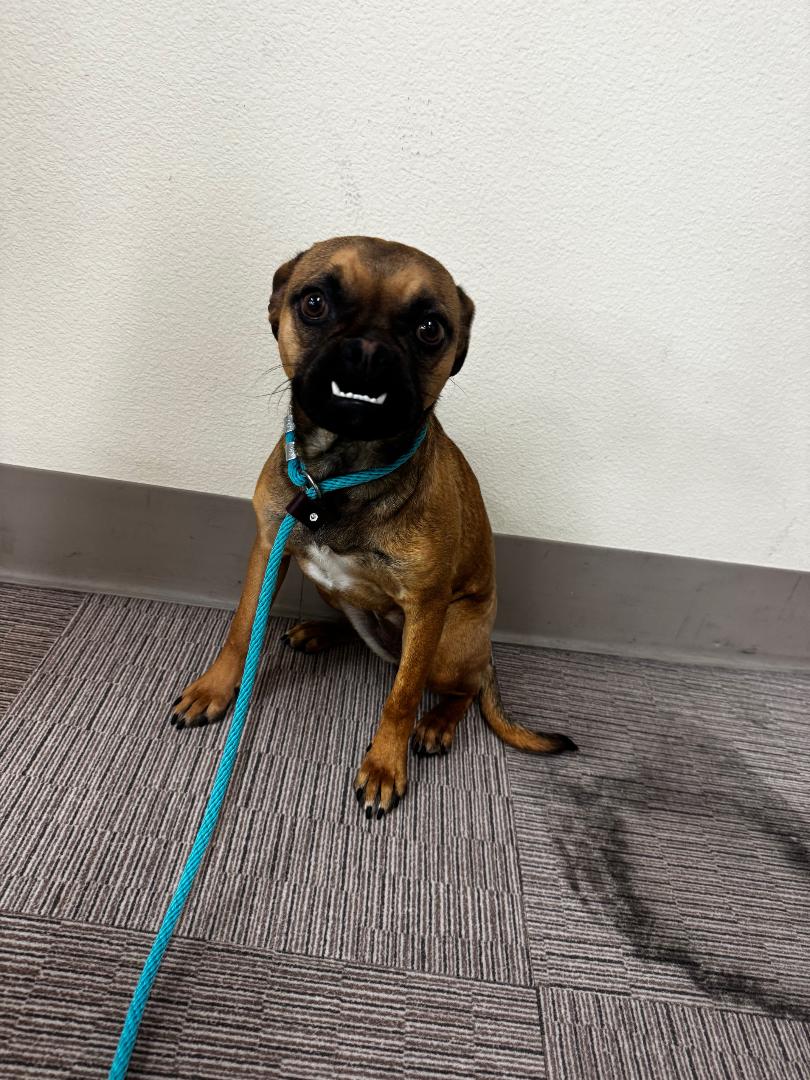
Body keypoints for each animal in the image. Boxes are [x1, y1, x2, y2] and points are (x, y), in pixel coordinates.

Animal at [170, 236, 576, 816]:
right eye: (314, 302)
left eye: (430, 328)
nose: (367, 352)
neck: (338, 475)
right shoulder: (269, 548)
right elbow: (241, 630)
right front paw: (215, 691)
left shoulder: (426, 605)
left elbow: (400, 698)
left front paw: (385, 765)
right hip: (334, 590)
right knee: (359, 624)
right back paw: (320, 632)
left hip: (447, 644)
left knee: (461, 688)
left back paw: (436, 725)